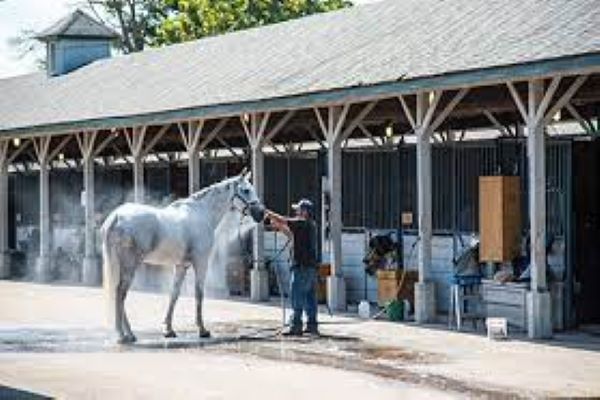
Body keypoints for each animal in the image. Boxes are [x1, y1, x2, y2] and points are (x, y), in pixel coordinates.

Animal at [102, 173, 264, 344]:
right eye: (246, 190)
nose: (261, 213)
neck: (202, 214)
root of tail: (116, 216)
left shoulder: (181, 265)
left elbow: (174, 294)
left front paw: (169, 330)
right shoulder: (201, 262)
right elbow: (199, 293)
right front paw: (202, 330)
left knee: (118, 293)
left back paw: (129, 334)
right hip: (129, 265)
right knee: (120, 293)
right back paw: (122, 334)